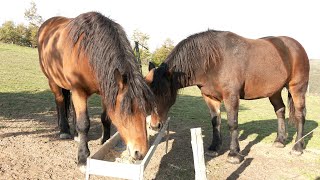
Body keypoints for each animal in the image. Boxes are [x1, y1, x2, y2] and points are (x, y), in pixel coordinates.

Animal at [37, 11, 155, 170]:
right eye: (126, 112)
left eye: (146, 110)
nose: (140, 153)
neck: (88, 52)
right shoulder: (79, 91)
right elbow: (84, 123)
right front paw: (82, 158)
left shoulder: (106, 90)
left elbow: (105, 117)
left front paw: (105, 140)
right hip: (53, 81)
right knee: (60, 101)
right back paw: (64, 130)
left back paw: (74, 133)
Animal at [147, 30, 310, 164]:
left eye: (165, 93)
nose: (155, 125)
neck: (213, 60)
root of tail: (297, 46)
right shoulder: (209, 97)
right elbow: (215, 121)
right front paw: (214, 148)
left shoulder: (231, 96)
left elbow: (232, 123)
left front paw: (234, 154)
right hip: (274, 91)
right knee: (280, 110)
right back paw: (280, 140)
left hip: (297, 88)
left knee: (300, 114)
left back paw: (297, 147)